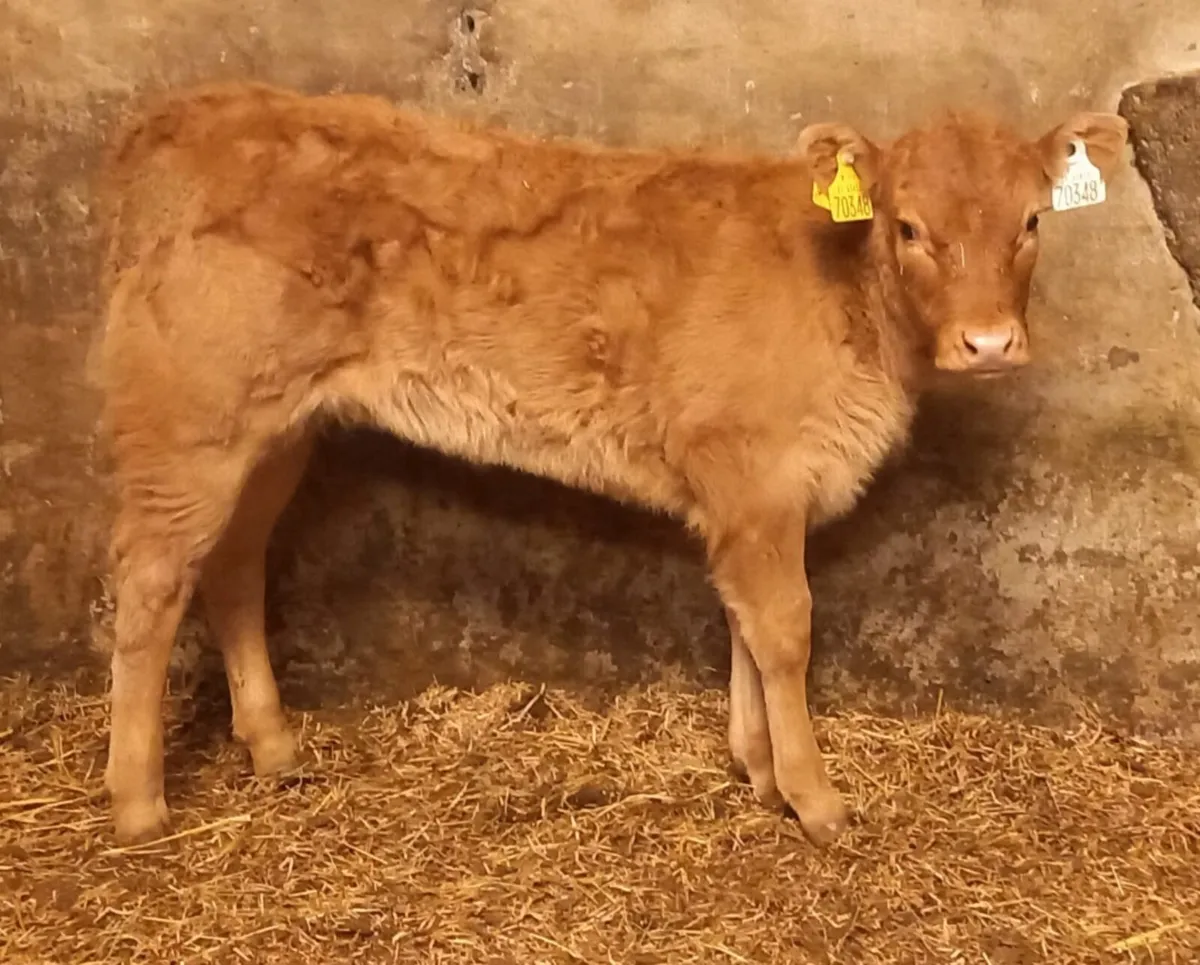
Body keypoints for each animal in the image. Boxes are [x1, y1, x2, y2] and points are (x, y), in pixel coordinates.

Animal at [93, 80, 1128, 847]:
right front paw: (815, 798)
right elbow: (785, 630)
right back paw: (139, 802)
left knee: (232, 563)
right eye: (909, 227)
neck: (845, 297)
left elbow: (743, 622)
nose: (988, 343)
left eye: (1033, 220)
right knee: (150, 583)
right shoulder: (756, 476)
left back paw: (273, 746)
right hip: (190, 419)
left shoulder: (740, 494)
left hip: (275, 427)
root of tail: (186, 113)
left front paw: (757, 771)